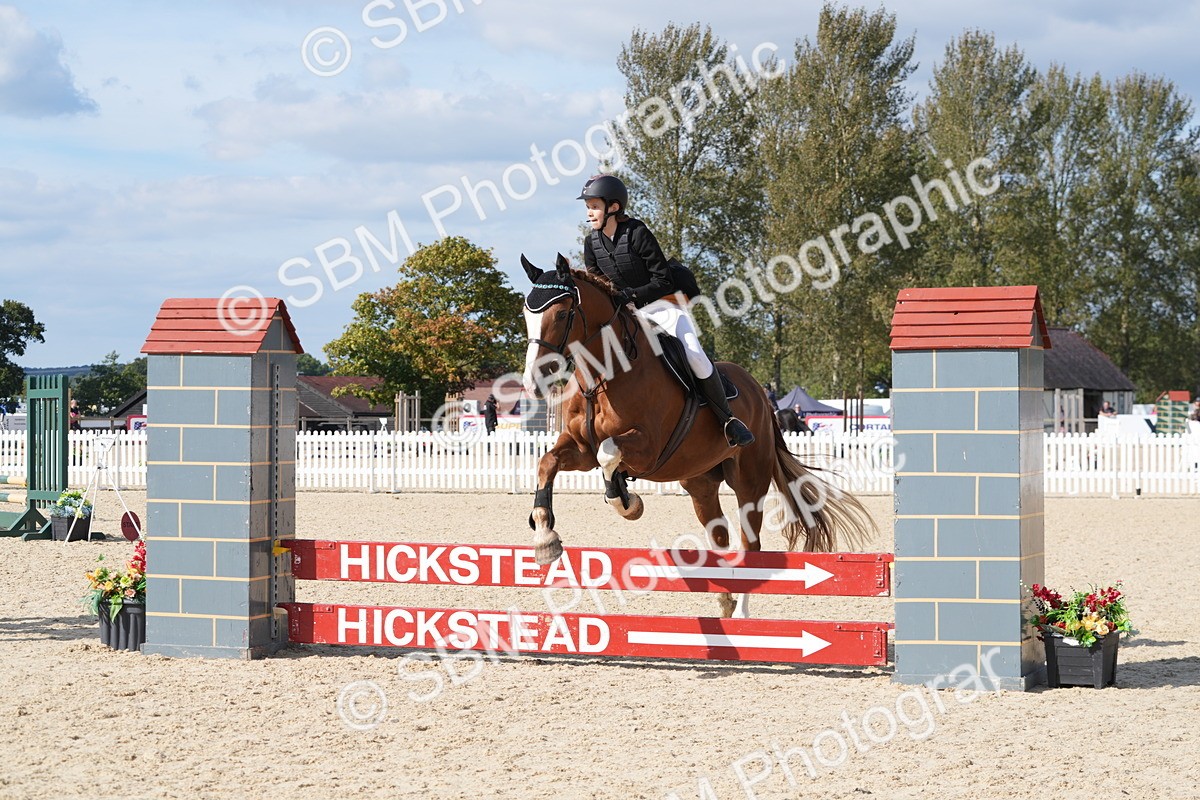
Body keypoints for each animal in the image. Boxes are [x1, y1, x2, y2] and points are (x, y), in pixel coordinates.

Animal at [519, 254, 873, 618]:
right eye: (526, 314)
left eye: (562, 313)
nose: (533, 382)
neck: (603, 376)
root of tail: (760, 393)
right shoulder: (580, 448)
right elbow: (549, 462)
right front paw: (545, 537)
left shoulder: (647, 446)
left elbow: (609, 452)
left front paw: (626, 503)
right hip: (701, 482)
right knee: (720, 536)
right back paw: (726, 600)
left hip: (750, 480)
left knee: (751, 543)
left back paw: (742, 613)